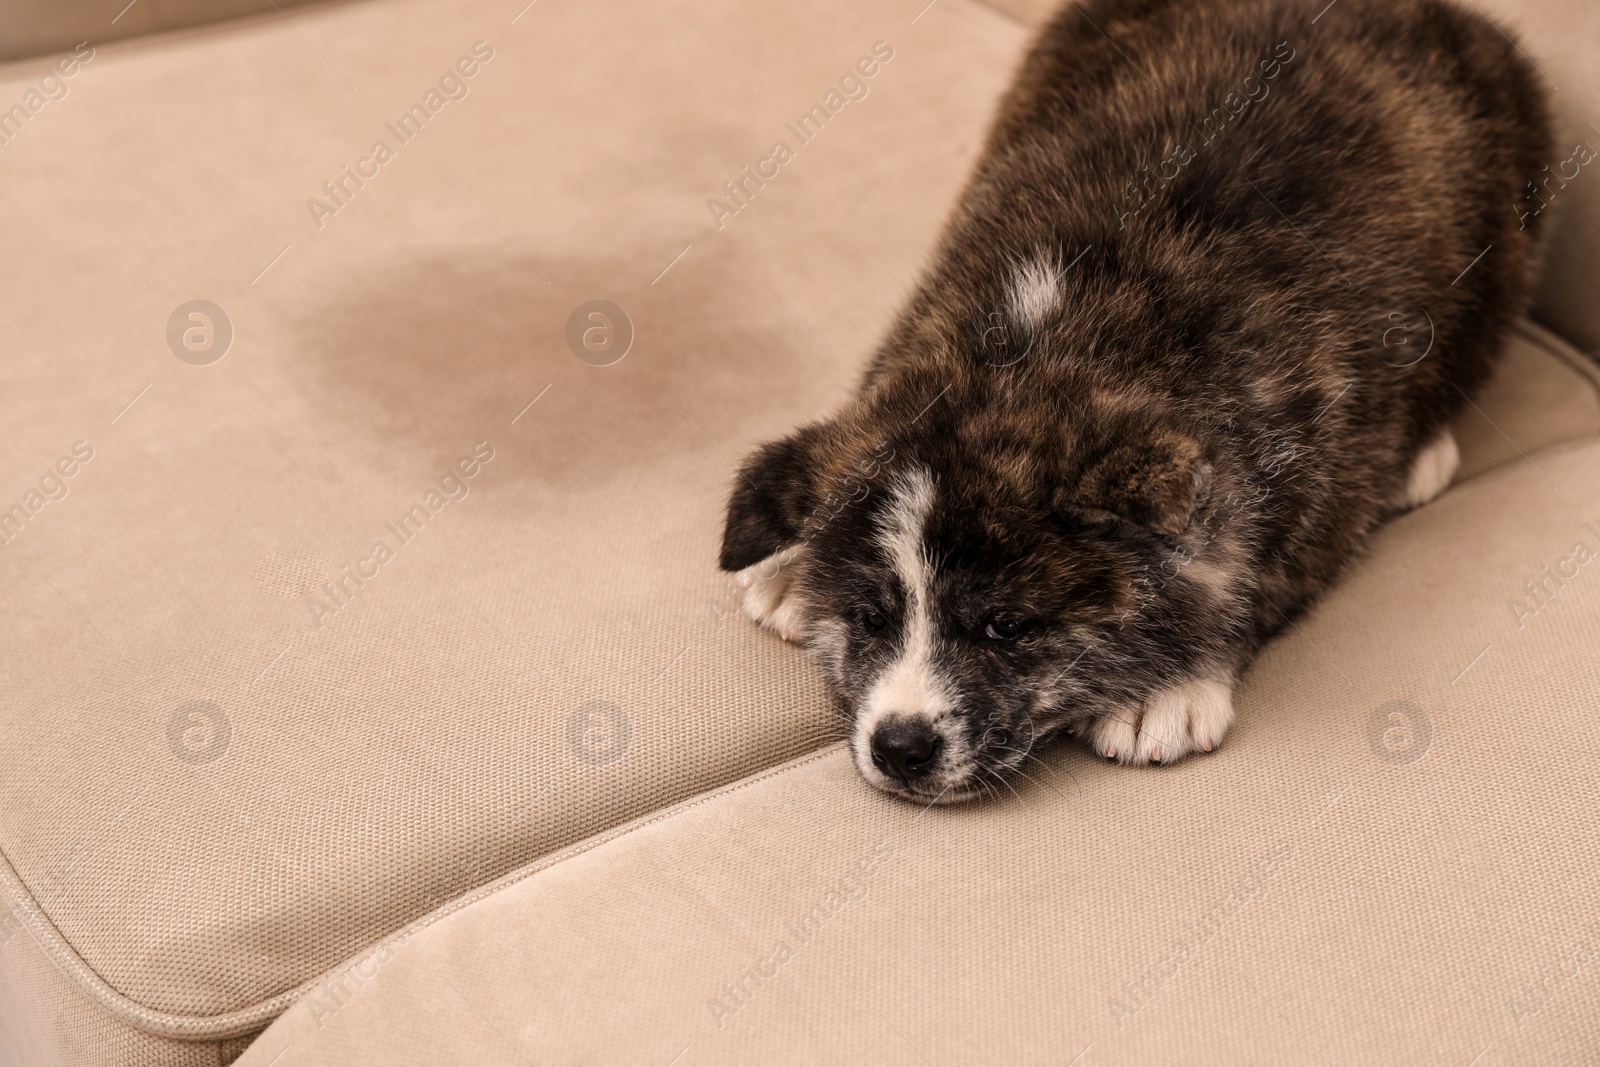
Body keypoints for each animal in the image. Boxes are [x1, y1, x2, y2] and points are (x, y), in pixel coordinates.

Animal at [723, 0, 1548, 799]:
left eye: (1006, 626)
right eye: (868, 617)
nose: (900, 747)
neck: (1033, 349)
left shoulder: (1327, 462)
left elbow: (1263, 567)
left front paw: (1168, 686)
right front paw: (794, 565)